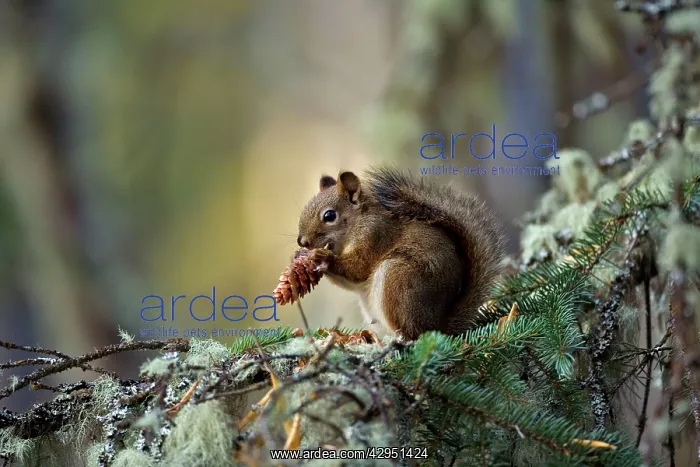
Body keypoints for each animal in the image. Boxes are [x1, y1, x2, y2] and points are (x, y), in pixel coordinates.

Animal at [296, 167, 506, 340]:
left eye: (329, 215)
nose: (302, 242)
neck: (359, 221)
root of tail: (438, 326)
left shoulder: (375, 236)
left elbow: (358, 268)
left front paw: (323, 258)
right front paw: (300, 256)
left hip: (398, 277)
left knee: (412, 334)